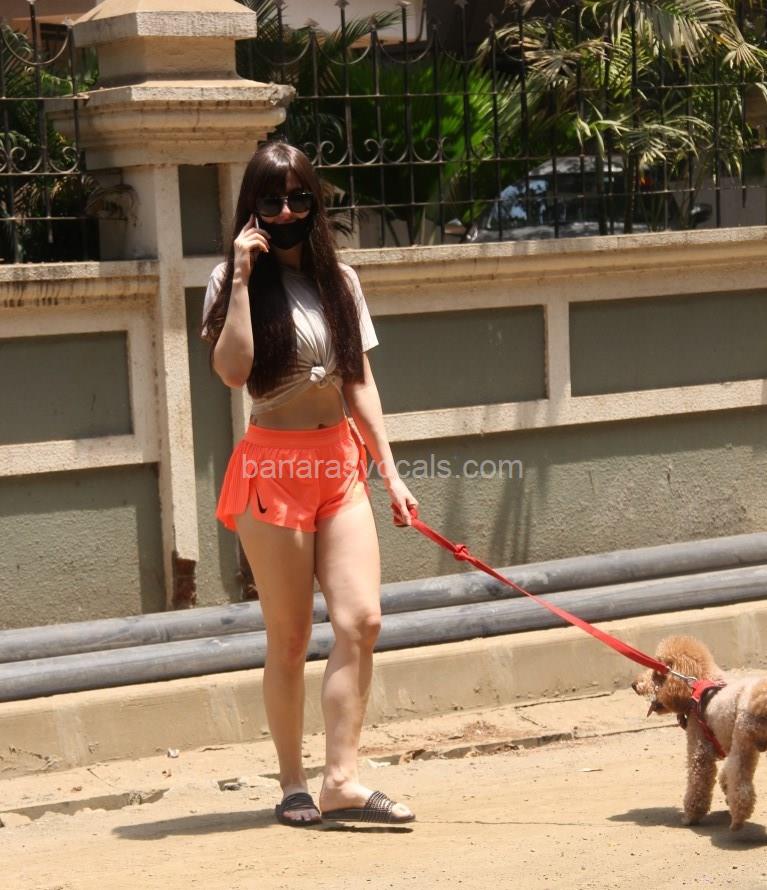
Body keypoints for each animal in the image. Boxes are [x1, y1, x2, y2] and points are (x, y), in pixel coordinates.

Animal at [632, 635, 767, 831]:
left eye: (658, 673)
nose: (634, 685)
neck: (698, 684)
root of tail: (760, 698)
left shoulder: (700, 750)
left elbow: (698, 783)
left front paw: (690, 816)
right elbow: (725, 774)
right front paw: (725, 786)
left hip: (743, 742)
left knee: (742, 786)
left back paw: (738, 820)